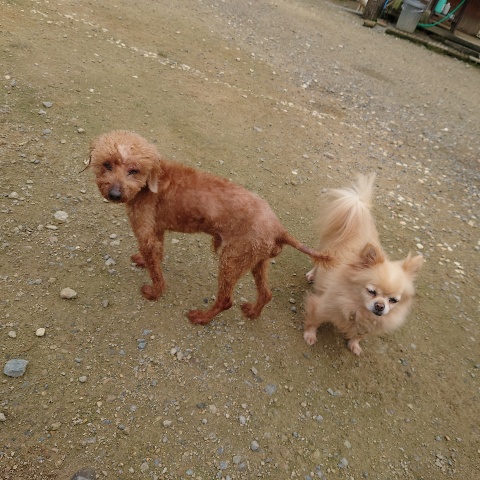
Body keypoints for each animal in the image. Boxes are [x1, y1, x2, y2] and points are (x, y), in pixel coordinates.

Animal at [87, 130, 331, 325]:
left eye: (134, 170)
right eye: (107, 164)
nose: (114, 194)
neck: (149, 184)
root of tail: (279, 228)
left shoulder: (146, 233)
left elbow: (156, 271)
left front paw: (154, 292)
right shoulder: (157, 229)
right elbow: (157, 255)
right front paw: (143, 261)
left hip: (231, 260)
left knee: (226, 300)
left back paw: (201, 318)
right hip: (256, 260)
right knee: (266, 294)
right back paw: (252, 313)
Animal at [303, 174, 423, 355]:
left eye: (393, 300)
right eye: (371, 291)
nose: (380, 306)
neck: (359, 308)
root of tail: (357, 205)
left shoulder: (369, 326)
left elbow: (358, 336)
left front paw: (354, 345)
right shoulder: (322, 306)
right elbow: (314, 320)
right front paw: (310, 336)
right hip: (326, 251)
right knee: (318, 262)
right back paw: (312, 274)